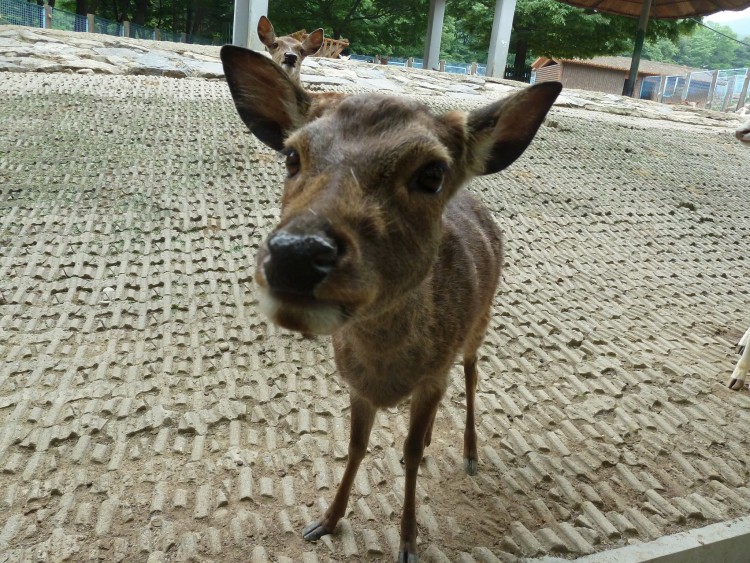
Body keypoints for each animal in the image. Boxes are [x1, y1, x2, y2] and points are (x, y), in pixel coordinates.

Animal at [222, 45, 564, 563]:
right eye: (291, 156)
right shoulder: (358, 386)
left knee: (471, 373)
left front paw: (407, 541)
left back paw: (469, 453)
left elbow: (412, 452)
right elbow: (357, 445)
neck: (386, 372)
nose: (297, 254)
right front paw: (325, 521)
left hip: (479, 323)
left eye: (432, 173)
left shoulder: (431, 375)